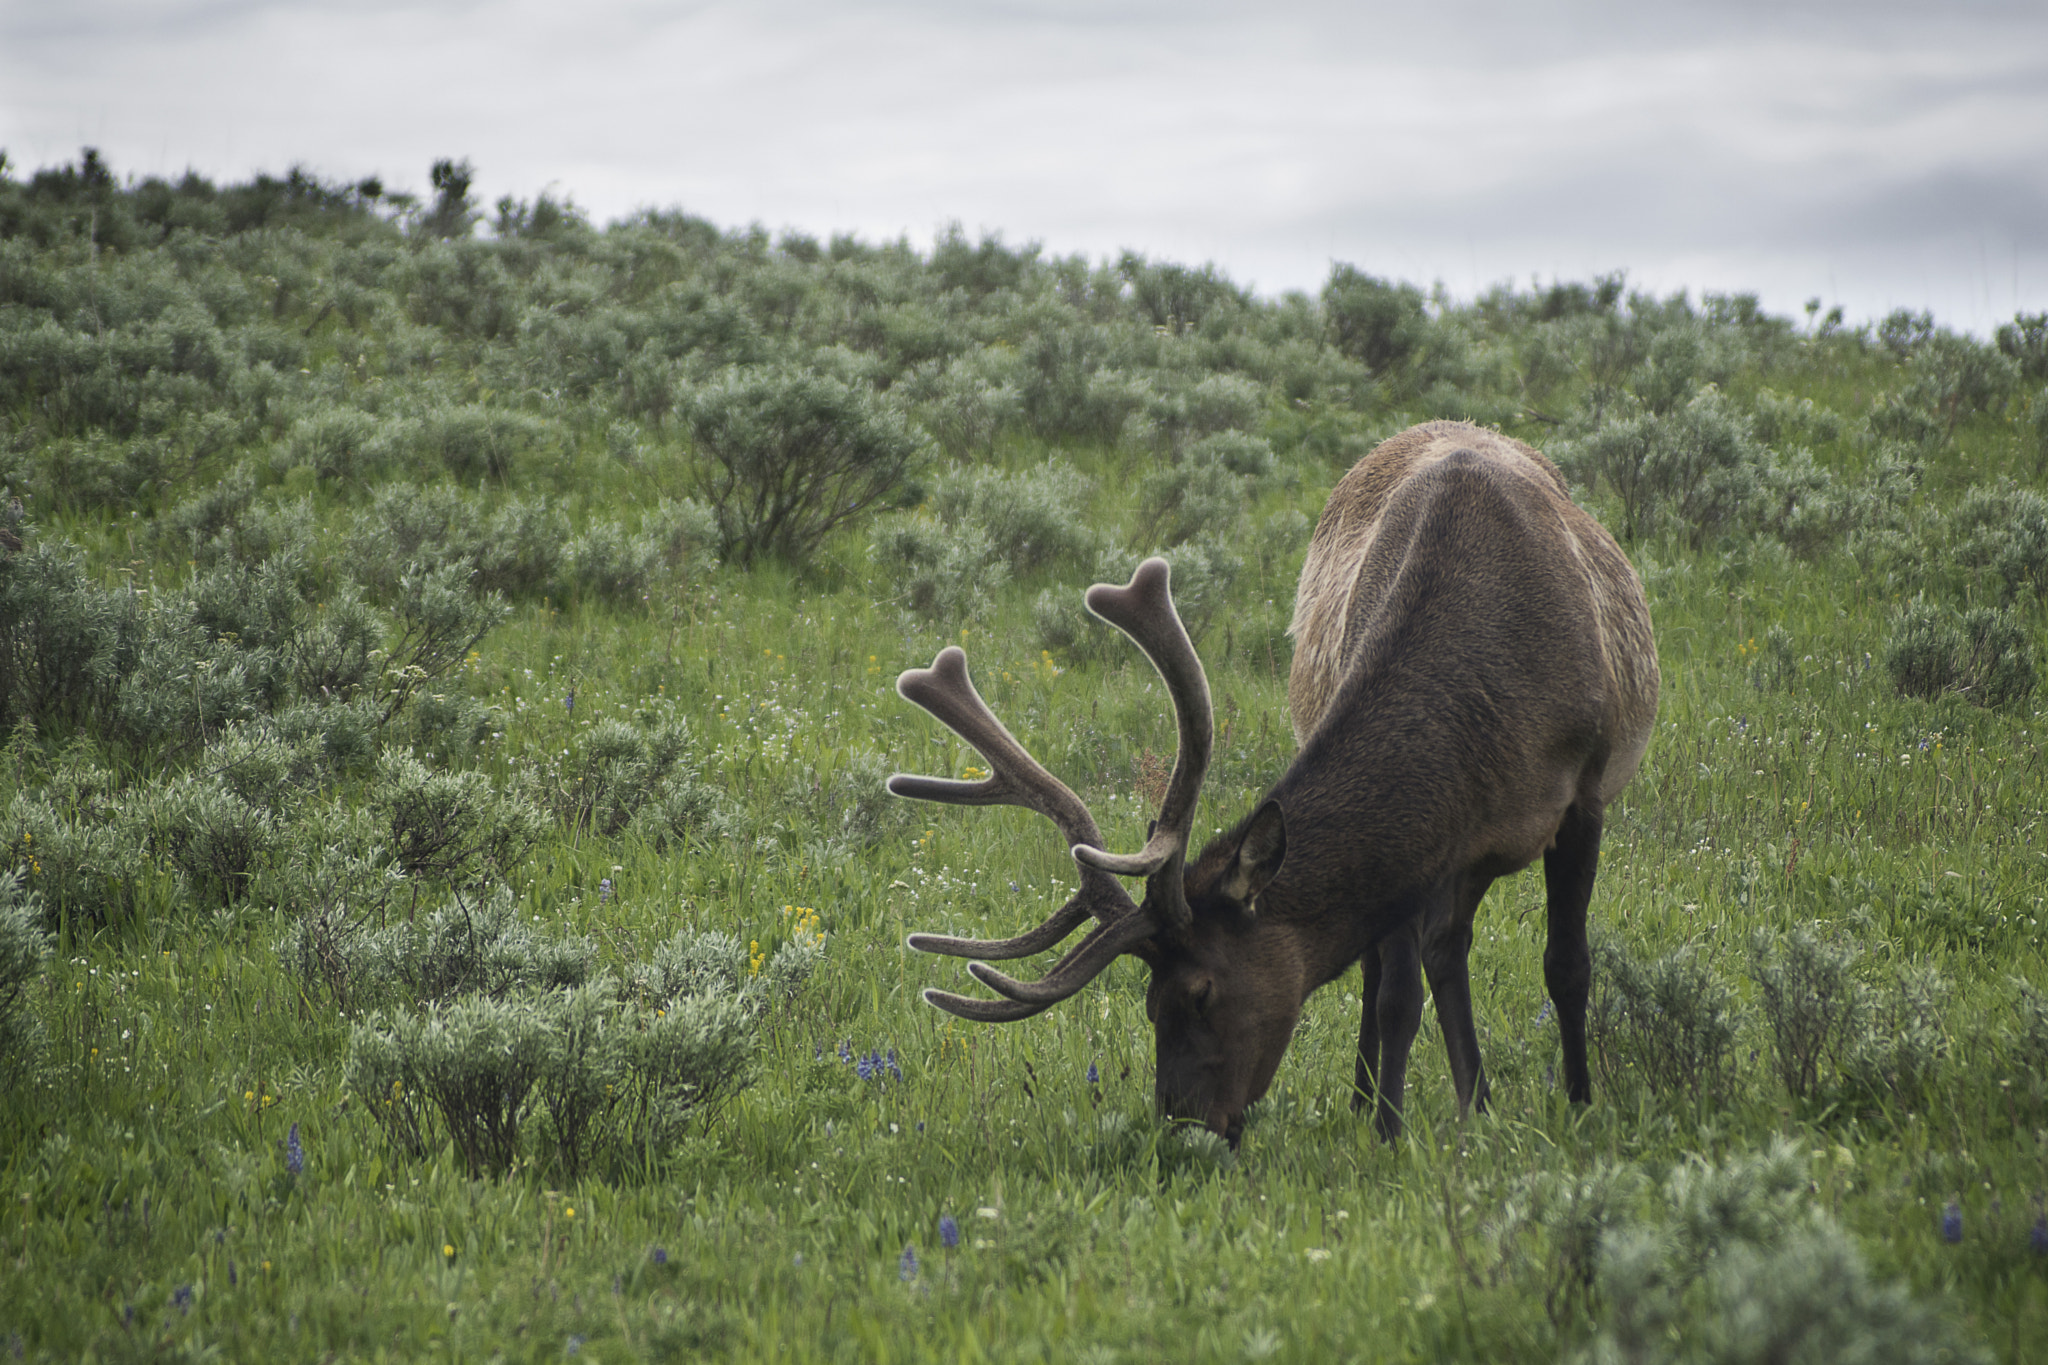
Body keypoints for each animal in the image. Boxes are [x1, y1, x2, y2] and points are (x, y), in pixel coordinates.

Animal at [888, 421, 1654, 1146]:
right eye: (1148, 1004)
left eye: (1200, 992)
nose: (1185, 1122)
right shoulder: (1424, 845)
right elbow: (1395, 995)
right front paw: (1388, 1127)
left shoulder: (1584, 794)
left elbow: (1567, 965)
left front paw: (1578, 1104)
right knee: (1424, 959)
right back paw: (1421, 1100)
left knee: (1450, 952)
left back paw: (1474, 1103)